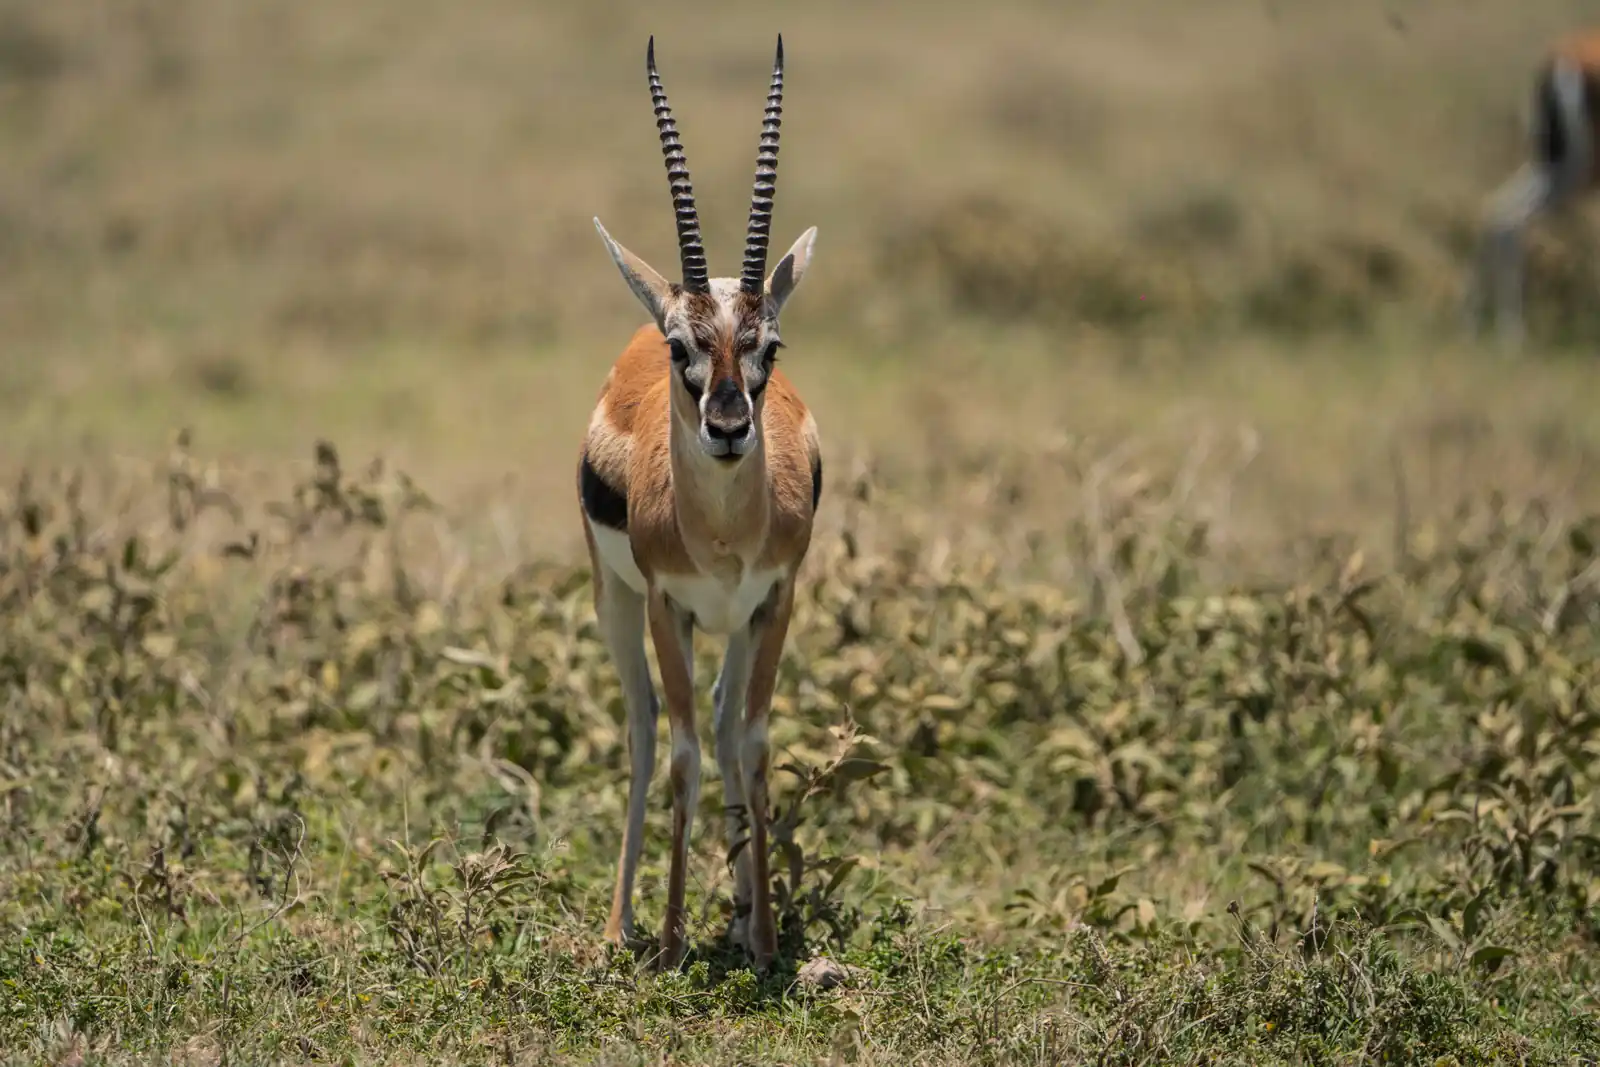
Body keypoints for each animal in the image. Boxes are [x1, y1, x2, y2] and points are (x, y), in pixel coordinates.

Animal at [578, 35, 822, 974]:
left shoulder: (773, 597)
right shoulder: (665, 603)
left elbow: (749, 742)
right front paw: (675, 936)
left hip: (736, 624)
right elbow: (679, 751)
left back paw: (745, 908)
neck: (719, 534)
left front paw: (765, 937)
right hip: (615, 602)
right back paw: (621, 926)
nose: (726, 426)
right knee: (650, 729)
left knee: (721, 725)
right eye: (682, 344)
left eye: (768, 345)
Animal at [1465, 32, 1600, 347]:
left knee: (1496, 208)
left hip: (1553, 165)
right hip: (1574, 172)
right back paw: (1511, 339)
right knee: (1512, 218)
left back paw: (1472, 328)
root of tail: (1563, 56)